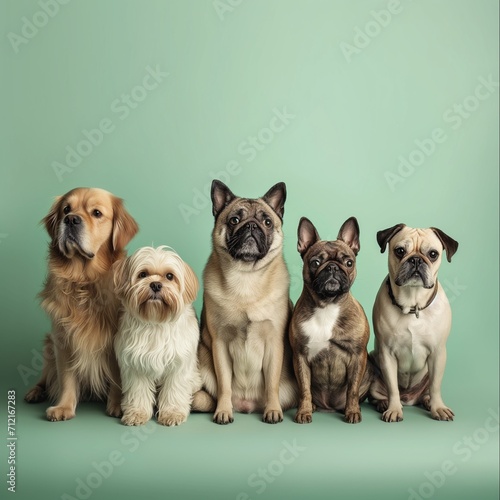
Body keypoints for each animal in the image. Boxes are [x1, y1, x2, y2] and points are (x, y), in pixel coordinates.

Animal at [113, 246, 201, 426]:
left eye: (169, 276)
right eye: (142, 274)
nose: (155, 284)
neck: (156, 322)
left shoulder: (178, 365)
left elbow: (174, 390)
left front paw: (172, 413)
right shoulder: (135, 366)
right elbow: (138, 392)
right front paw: (137, 413)